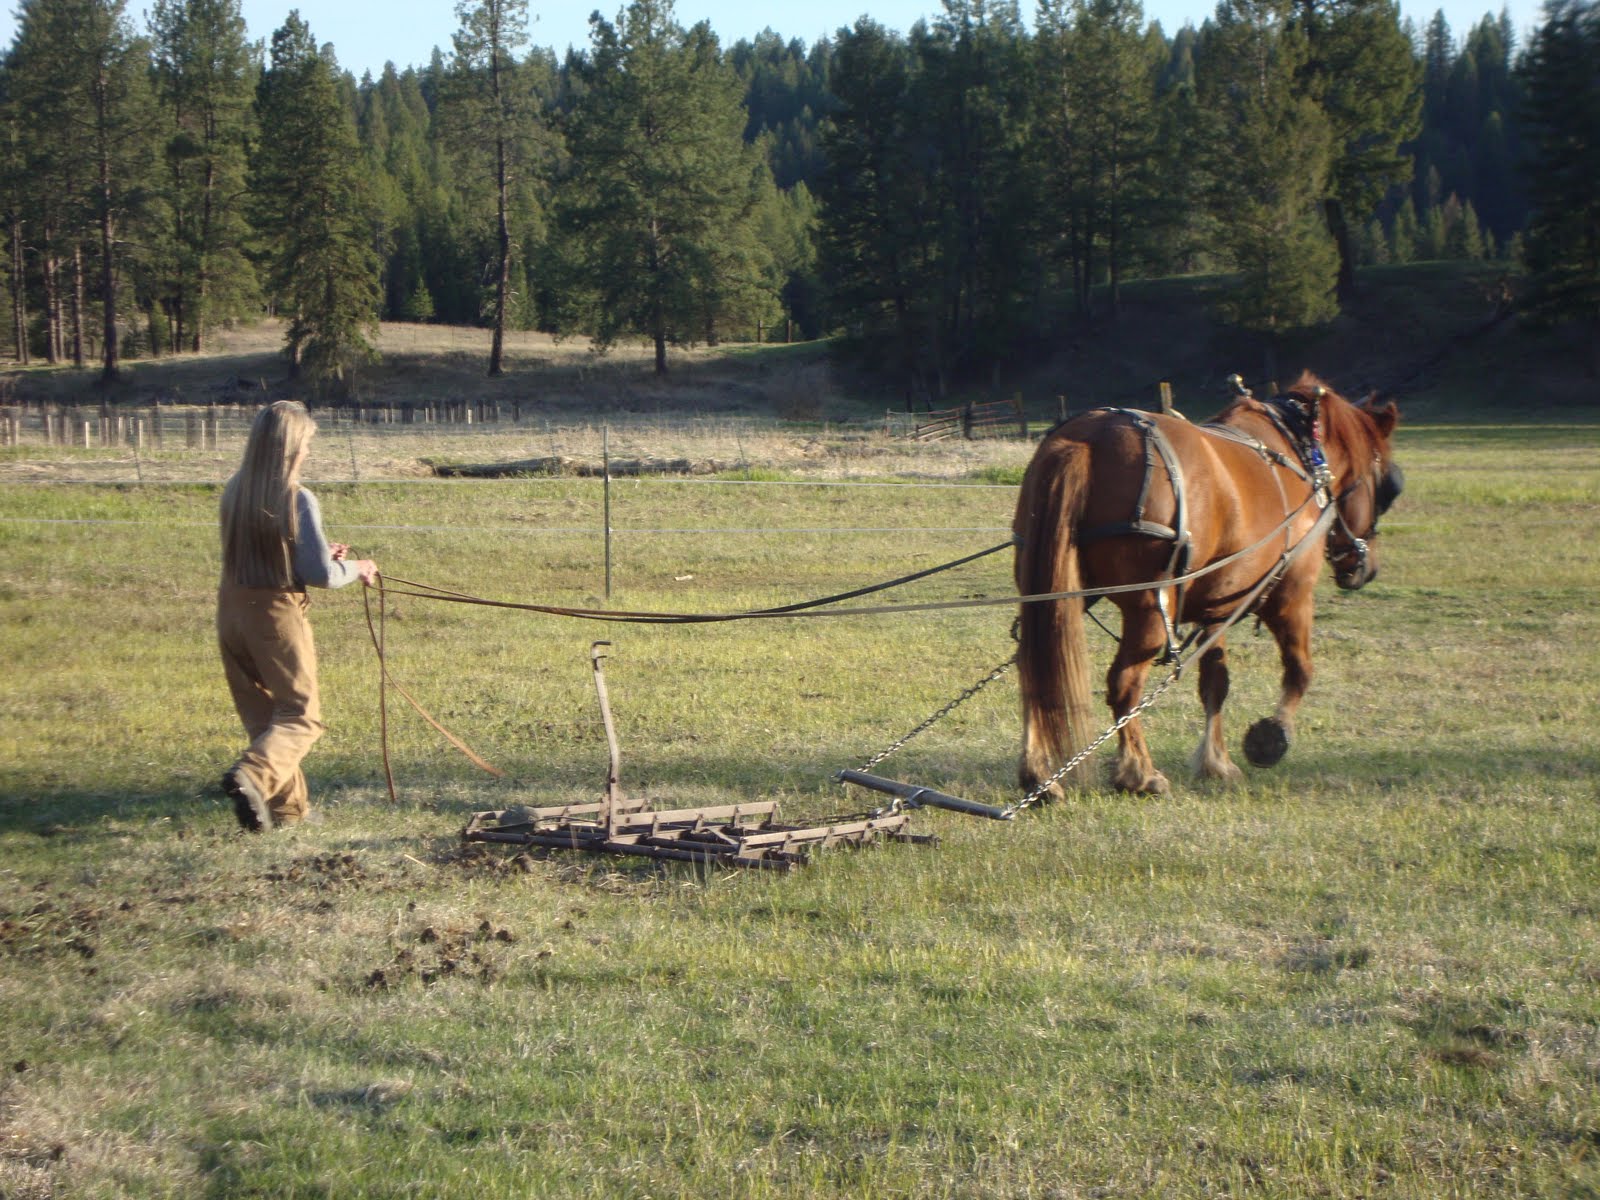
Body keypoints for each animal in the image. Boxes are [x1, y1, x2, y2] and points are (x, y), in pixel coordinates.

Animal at [1012, 371, 1402, 796]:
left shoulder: (1220, 606)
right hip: (1150, 609)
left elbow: (1216, 681)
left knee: (1033, 666)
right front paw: (1272, 736)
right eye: (1388, 487)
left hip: (1054, 590)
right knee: (1124, 683)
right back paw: (1139, 773)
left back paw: (1038, 774)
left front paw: (1217, 762)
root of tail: (1089, 438)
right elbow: (1300, 669)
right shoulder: (1292, 592)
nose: (1366, 568)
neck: (1299, 455)